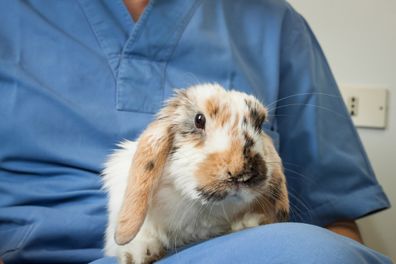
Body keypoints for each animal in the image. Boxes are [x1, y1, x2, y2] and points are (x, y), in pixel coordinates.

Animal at [102, 83, 288, 264]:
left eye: (259, 124)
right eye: (199, 120)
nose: (240, 173)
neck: (200, 206)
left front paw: (249, 222)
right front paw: (138, 254)